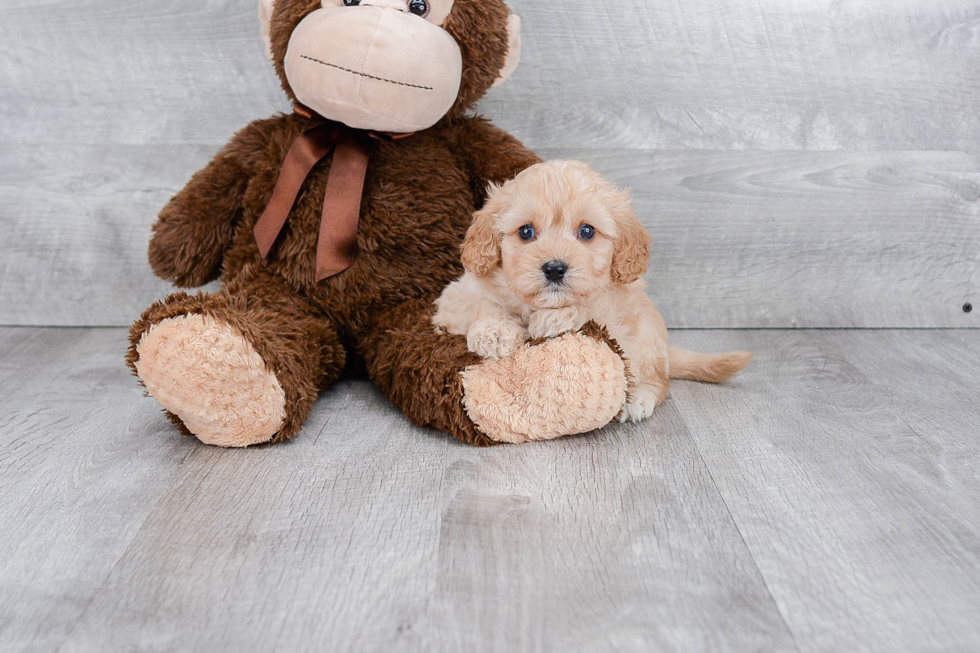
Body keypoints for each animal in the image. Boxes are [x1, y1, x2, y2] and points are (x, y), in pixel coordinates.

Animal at [434, 160, 752, 420]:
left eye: (586, 231)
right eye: (525, 232)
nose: (554, 268)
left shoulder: (619, 310)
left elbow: (593, 305)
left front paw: (553, 318)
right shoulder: (454, 297)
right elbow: (483, 303)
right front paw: (495, 331)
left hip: (646, 335)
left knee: (659, 379)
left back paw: (639, 398)